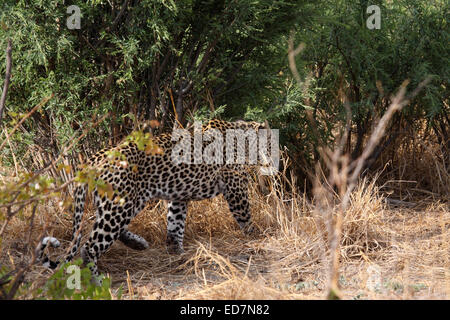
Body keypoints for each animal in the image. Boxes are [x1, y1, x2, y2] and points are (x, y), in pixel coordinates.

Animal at [37, 119, 268, 278]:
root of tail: (97, 156)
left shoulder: (178, 198)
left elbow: (176, 225)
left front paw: (177, 252)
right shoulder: (235, 188)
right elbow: (246, 217)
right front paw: (258, 237)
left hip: (120, 202)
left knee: (106, 229)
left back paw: (138, 243)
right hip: (121, 204)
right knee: (90, 246)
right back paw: (97, 279)